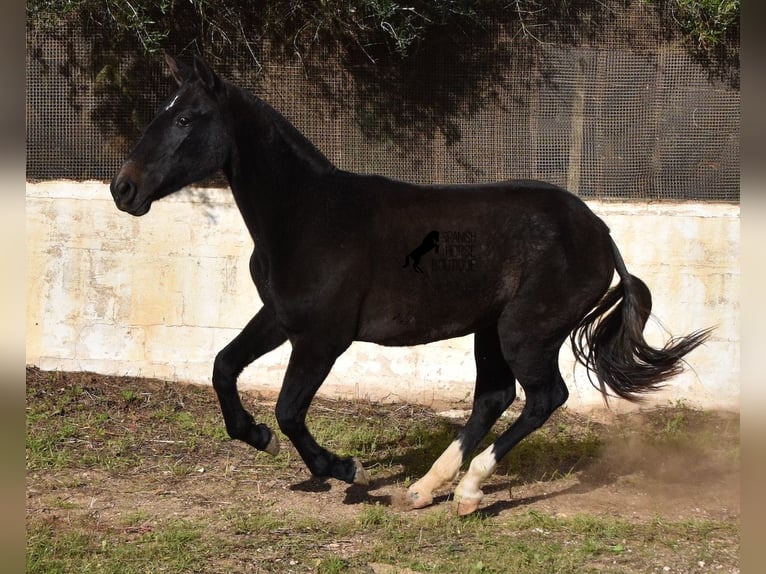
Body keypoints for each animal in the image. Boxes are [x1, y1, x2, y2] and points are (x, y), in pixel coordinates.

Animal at [109, 55, 712, 516]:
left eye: (188, 119)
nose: (123, 189)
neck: (308, 217)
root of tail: (599, 230)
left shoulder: (323, 338)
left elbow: (288, 410)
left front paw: (344, 469)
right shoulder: (281, 318)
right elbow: (223, 367)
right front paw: (255, 436)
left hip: (525, 332)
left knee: (545, 397)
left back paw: (469, 493)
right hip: (490, 330)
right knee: (494, 397)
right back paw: (426, 488)